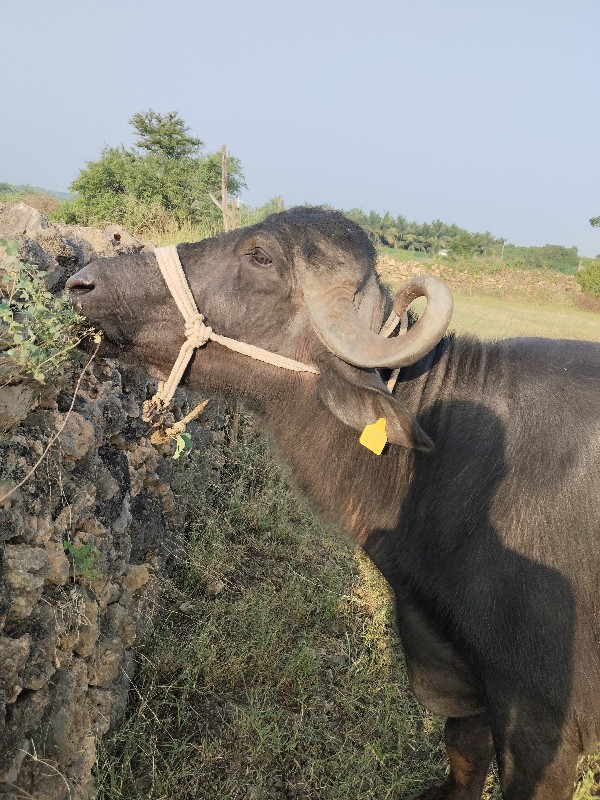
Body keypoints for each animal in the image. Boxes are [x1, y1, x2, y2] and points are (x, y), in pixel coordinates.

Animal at [67, 208, 600, 800]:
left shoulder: (543, 726)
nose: (81, 283)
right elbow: (462, 757)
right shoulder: (454, 674)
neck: (442, 458)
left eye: (260, 256)